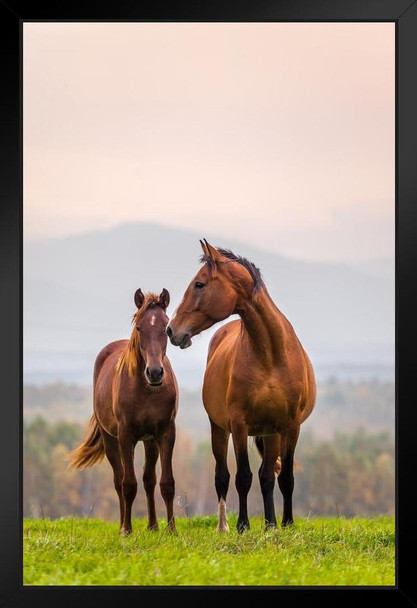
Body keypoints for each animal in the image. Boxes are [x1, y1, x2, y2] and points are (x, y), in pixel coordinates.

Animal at [70, 288, 177, 532]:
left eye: (165, 327)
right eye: (139, 327)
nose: (155, 372)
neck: (147, 390)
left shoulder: (166, 432)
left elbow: (166, 483)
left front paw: (172, 530)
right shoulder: (125, 435)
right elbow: (128, 484)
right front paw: (127, 530)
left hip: (149, 441)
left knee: (149, 480)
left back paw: (153, 526)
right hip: (110, 439)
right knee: (119, 481)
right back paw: (122, 525)